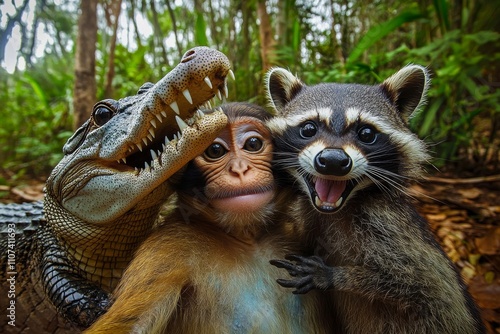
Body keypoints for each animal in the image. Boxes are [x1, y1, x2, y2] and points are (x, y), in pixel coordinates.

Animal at [268, 66, 486, 334]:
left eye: (366, 133)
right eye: (308, 129)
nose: (333, 161)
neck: (332, 211)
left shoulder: (391, 228)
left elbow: (423, 285)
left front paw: (339, 276)